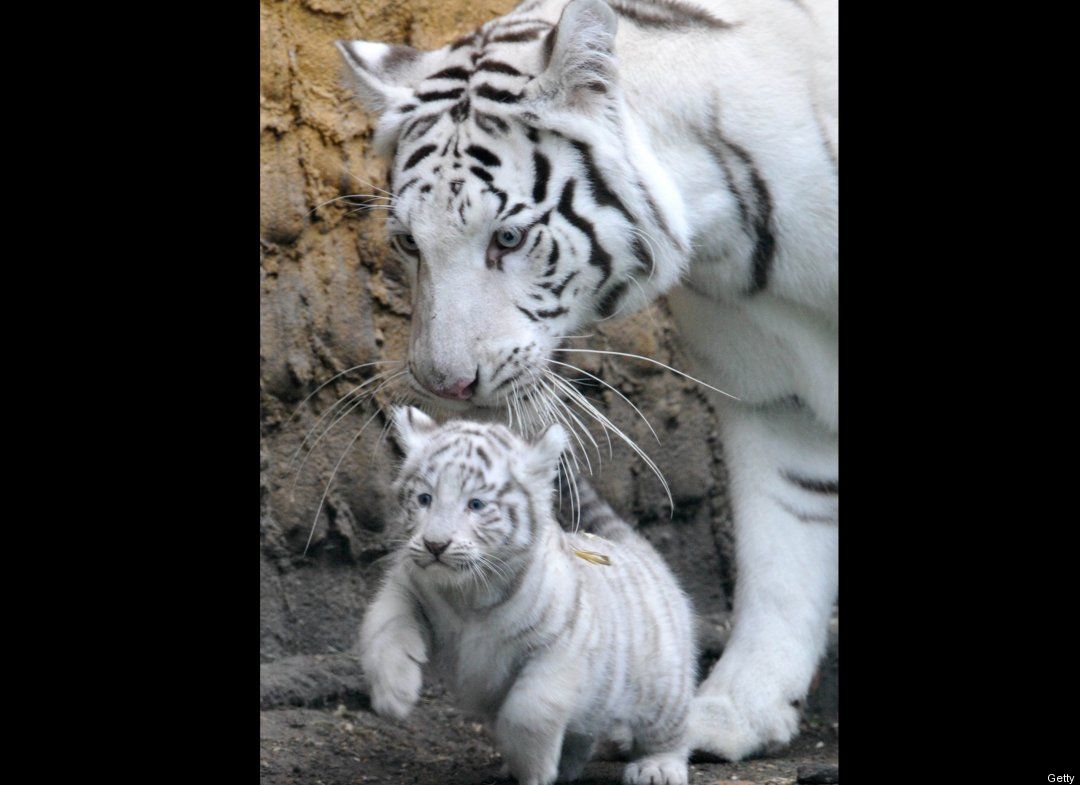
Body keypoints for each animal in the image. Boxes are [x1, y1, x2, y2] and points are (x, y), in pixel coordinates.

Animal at [362, 412, 695, 785]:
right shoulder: (407, 588)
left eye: (475, 504)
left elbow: (530, 708)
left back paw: (657, 767)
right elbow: (387, 629)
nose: (435, 545)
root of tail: (633, 547)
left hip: (662, 687)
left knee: (671, 729)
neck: (469, 592)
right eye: (424, 499)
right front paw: (394, 694)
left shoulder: (561, 644)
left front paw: (532, 768)